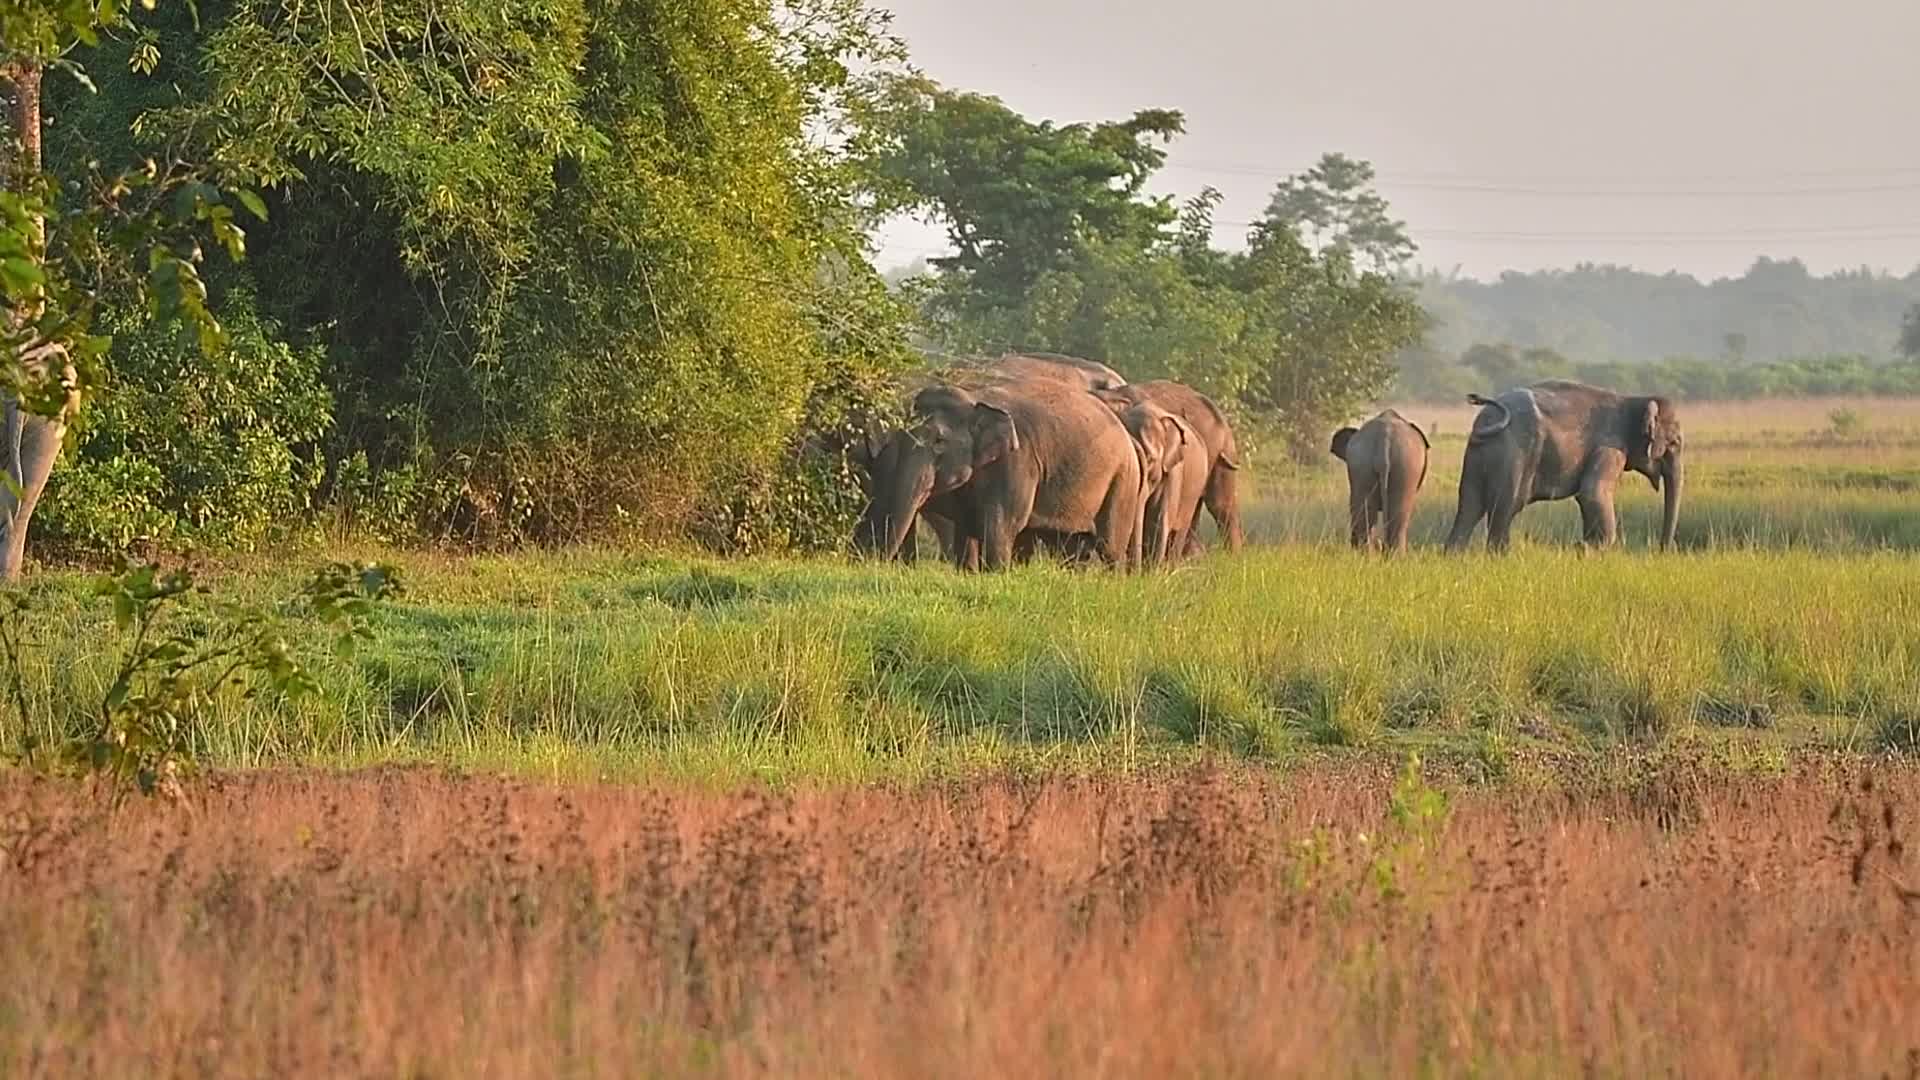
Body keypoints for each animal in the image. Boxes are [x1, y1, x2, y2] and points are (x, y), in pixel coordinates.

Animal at [852, 380, 1144, 570]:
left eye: (939, 441)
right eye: (899, 436)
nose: (874, 562)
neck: (974, 400)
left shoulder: (1017, 462)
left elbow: (1003, 523)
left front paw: (997, 574)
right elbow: (966, 525)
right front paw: (968, 572)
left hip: (1123, 480)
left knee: (1110, 546)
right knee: (1071, 547)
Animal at [1444, 379, 1685, 553]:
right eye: (1675, 443)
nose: (1664, 549)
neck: (1633, 400)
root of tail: (1487, 419)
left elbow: (1587, 498)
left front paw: (1586, 546)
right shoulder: (1610, 447)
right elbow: (1592, 493)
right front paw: (1589, 548)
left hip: (1478, 456)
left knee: (1470, 506)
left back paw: (1455, 556)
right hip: (1514, 455)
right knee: (1506, 507)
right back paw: (1500, 557)